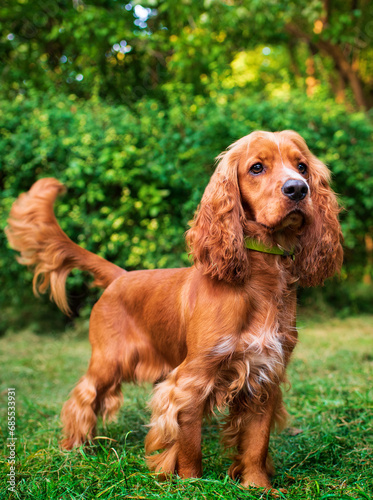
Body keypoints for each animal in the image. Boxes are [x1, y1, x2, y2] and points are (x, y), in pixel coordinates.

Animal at [6, 130, 342, 488]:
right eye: (256, 168)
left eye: (302, 166)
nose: (297, 189)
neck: (261, 278)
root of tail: (121, 276)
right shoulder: (191, 381)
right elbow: (189, 444)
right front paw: (191, 483)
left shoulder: (264, 376)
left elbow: (256, 444)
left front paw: (257, 486)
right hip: (108, 361)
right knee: (81, 398)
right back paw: (74, 446)